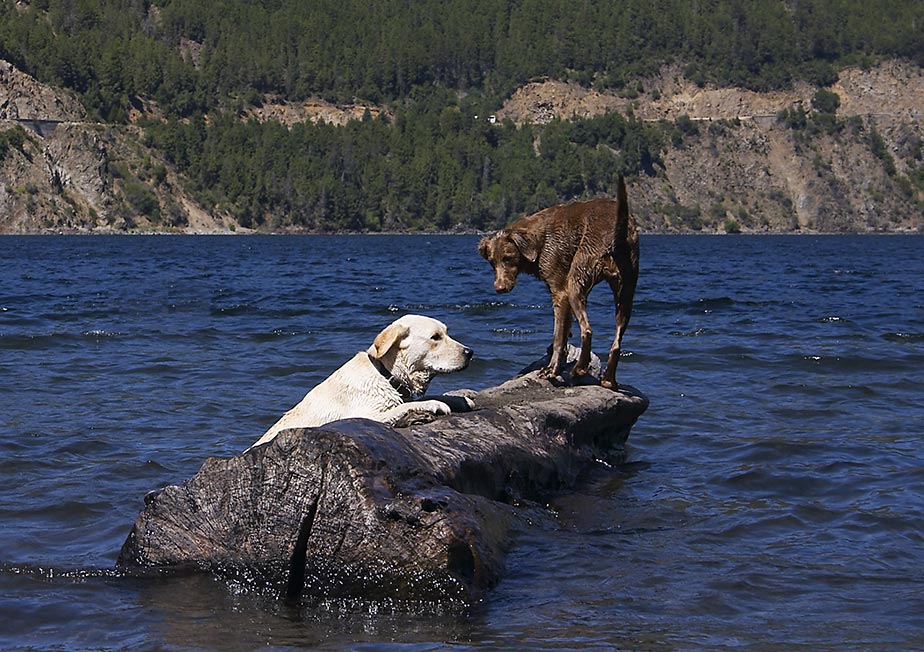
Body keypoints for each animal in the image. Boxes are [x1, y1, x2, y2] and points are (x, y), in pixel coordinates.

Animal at [249, 314, 472, 448]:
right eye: (435, 337)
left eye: (446, 333)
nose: (470, 353)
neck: (385, 374)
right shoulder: (364, 414)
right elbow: (404, 407)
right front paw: (434, 404)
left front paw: (461, 400)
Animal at [476, 177, 636, 388]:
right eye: (492, 261)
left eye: (508, 258)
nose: (500, 288)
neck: (539, 243)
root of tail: (619, 232)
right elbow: (565, 331)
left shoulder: (561, 292)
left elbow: (559, 336)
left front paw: (551, 369)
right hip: (626, 289)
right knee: (617, 339)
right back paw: (608, 380)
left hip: (578, 275)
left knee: (587, 329)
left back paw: (579, 369)